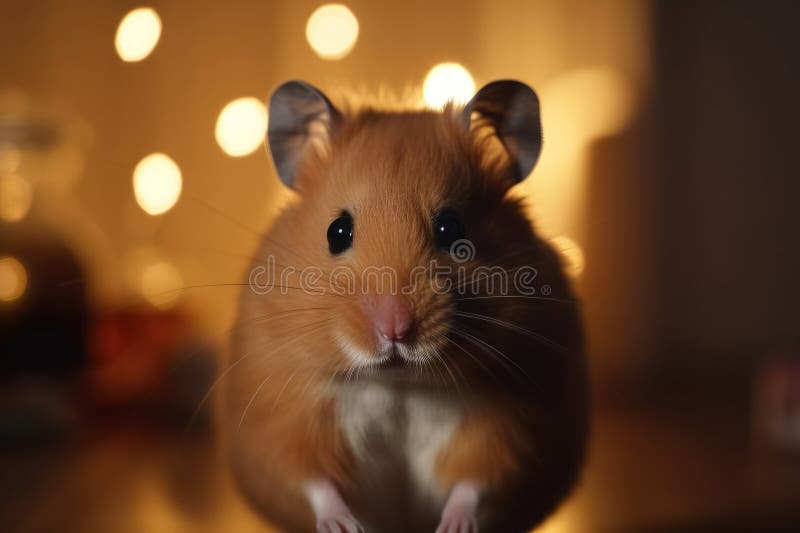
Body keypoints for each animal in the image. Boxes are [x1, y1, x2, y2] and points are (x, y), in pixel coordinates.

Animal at [220, 80, 587, 533]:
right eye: (337, 231)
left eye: (451, 228)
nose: (394, 330)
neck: (399, 384)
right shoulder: (287, 422)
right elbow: (315, 482)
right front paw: (345, 527)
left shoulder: (508, 432)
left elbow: (474, 484)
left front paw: (452, 528)